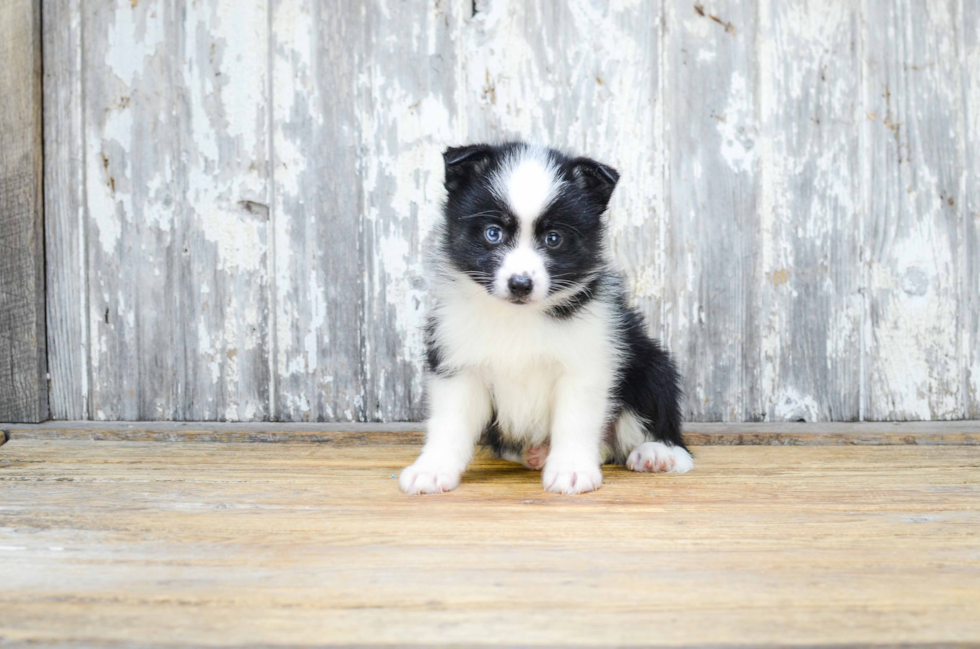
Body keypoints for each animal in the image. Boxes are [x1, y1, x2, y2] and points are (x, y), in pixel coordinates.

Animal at [398, 143, 688, 496]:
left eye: (553, 238)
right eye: (493, 233)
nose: (520, 284)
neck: (518, 316)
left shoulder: (586, 363)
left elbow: (575, 421)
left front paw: (571, 470)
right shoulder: (458, 362)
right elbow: (450, 422)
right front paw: (432, 469)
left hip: (651, 364)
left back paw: (658, 452)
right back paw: (536, 453)